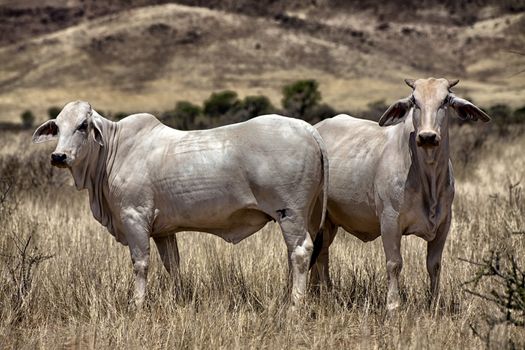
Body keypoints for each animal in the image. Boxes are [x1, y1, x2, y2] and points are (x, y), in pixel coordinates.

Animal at [32, 100, 328, 306]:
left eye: (83, 125)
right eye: (57, 127)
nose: (58, 156)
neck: (112, 152)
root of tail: (307, 128)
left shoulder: (134, 218)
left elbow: (141, 264)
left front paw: (137, 304)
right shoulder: (164, 231)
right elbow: (172, 265)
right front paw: (179, 299)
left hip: (290, 214)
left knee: (300, 252)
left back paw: (295, 304)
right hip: (309, 216)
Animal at [310, 78, 490, 310]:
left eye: (445, 101)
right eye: (415, 101)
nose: (427, 136)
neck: (428, 178)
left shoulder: (444, 223)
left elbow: (434, 265)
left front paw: (434, 304)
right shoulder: (390, 221)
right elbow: (394, 264)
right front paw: (393, 305)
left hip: (330, 222)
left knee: (321, 253)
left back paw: (321, 293)